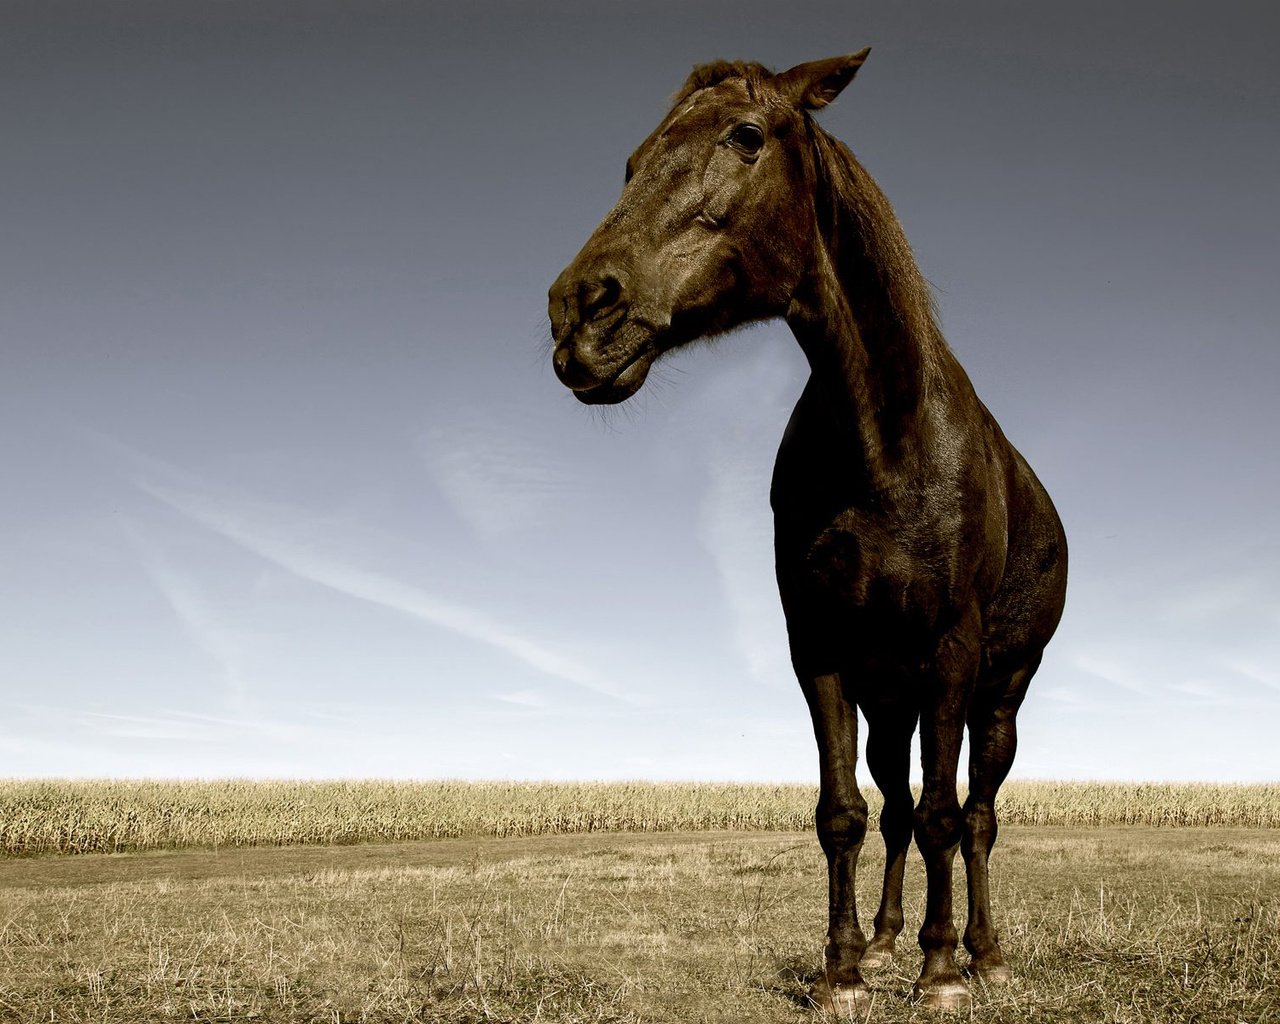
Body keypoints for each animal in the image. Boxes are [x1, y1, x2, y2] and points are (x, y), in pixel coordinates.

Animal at [547, 51, 1070, 1013]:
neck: (886, 441)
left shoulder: (952, 652)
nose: (580, 311)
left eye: (747, 136)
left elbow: (946, 814)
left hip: (1000, 694)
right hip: (891, 701)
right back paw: (892, 937)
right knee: (897, 810)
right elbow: (844, 814)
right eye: (632, 162)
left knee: (976, 816)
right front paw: (844, 971)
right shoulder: (820, 649)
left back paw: (981, 951)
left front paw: (942, 975)